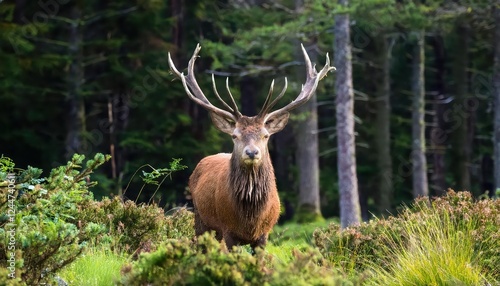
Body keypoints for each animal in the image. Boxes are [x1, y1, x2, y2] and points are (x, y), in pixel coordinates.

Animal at [169, 44, 336, 250]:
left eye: (265, 135)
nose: (251, 152)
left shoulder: (265, 233)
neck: (250, 219)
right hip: (201, 219)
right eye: (235, 135)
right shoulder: (228, 230)